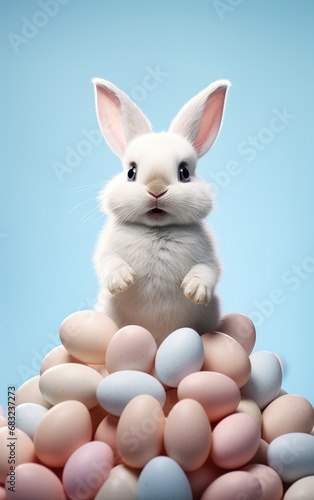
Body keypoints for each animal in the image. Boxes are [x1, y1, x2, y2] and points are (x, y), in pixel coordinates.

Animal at [92, 78, 229, 346]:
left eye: (184, 173)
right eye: (131, 172)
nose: (156, 189)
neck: (156, 230)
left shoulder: (208, 257)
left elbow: (208, 271)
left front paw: (194, 290)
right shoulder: (107, 251)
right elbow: (108, 262)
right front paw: (123, 279)